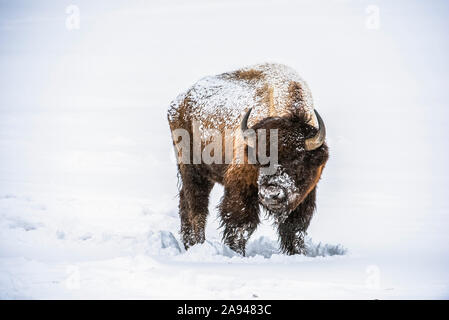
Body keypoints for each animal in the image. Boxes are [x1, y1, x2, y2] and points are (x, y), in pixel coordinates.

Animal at [166, 63, 328, 256]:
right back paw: (198, 245)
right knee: (196, 207)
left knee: (186, 202)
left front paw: (298, 254)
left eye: (297, 160)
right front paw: (237, 253)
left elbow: (295, 227)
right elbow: (241, 224)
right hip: (191, 169)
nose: (271, 193)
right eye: (260, 160)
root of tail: (178, 103)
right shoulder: (240, 186)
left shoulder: (307, 193)